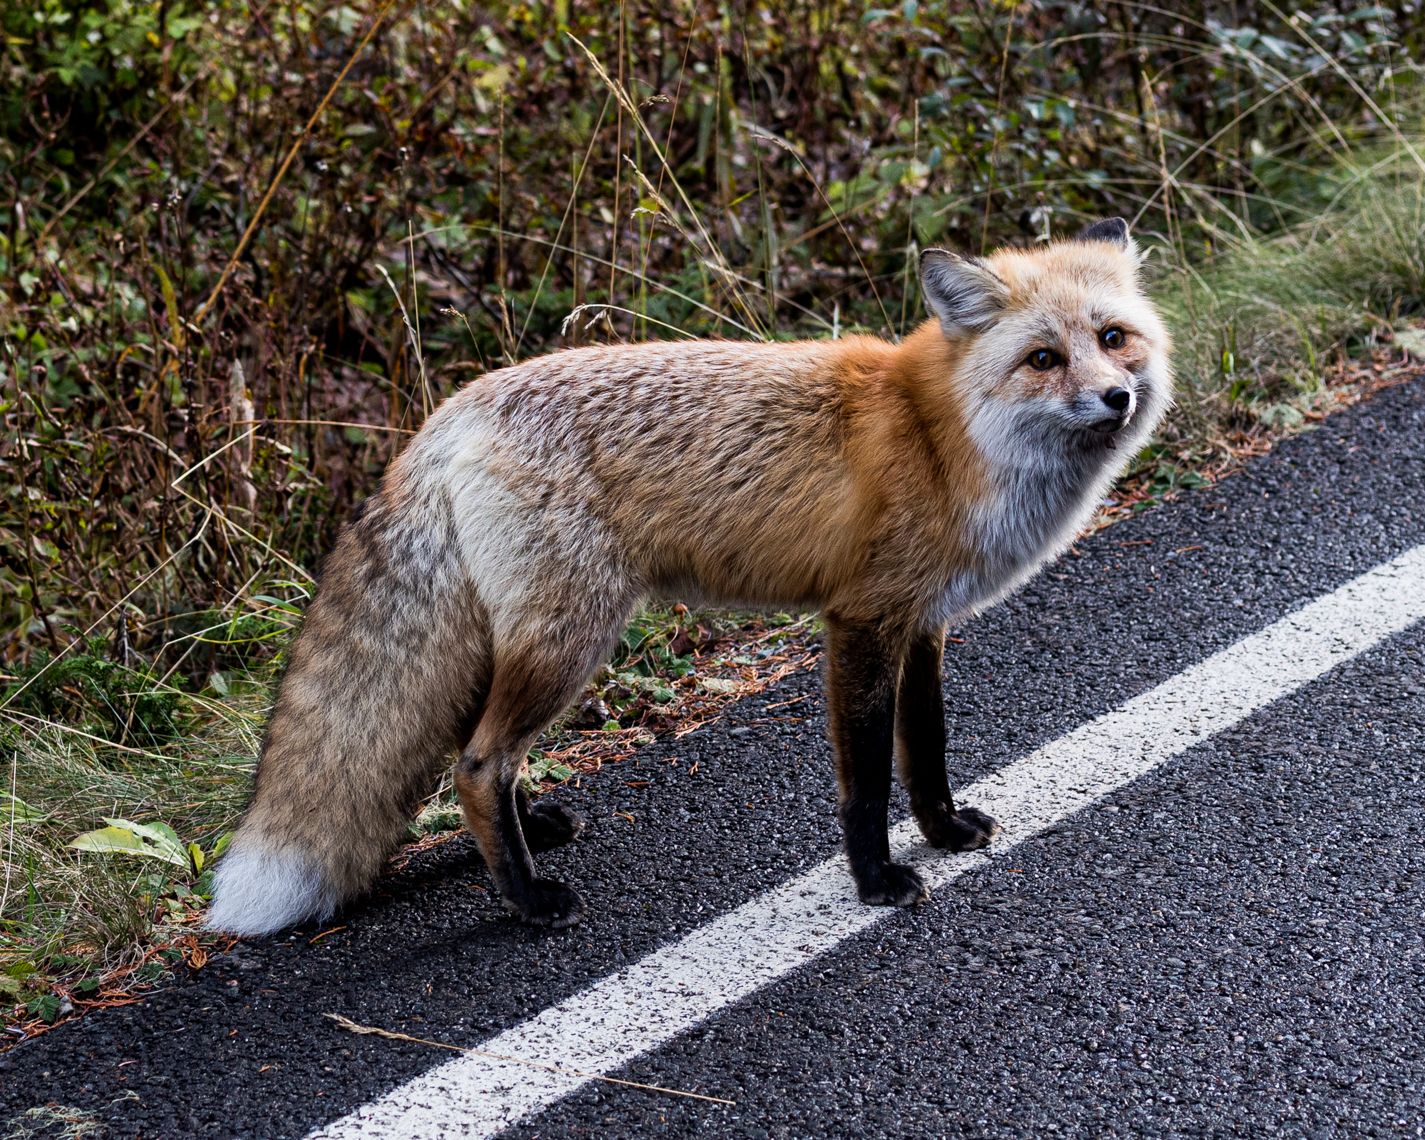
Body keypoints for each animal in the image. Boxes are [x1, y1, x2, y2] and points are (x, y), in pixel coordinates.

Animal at [206, 217, 1171, 935]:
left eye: (1112, 340)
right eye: (1043, 358)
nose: (1116, 397)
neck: (944, 440)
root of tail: (446, 413)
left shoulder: (922, 621)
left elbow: (924, 749)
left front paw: (942, 831)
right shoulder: (861, 620)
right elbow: (865, 782)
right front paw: (876, 882)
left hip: (519, 639)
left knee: (465, 750)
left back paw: (531, 830)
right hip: (571, 639)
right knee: (478, 762)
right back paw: (526, 899)